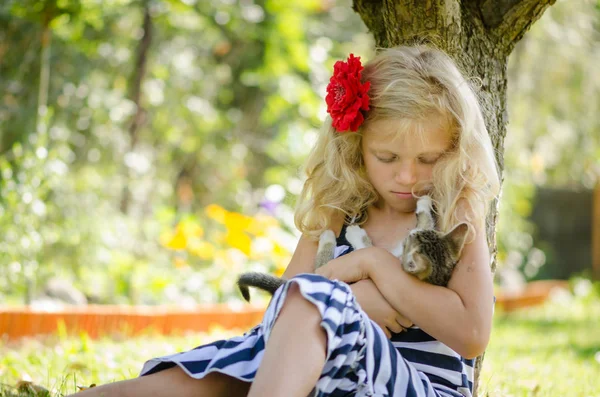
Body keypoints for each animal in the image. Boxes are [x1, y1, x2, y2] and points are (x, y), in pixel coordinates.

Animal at [236, 194, 468, 300]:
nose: (408, 234)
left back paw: (328, 236)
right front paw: (424, 205)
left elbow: (368, 248)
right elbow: (426, 224)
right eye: (408, 239)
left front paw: (355, 234)